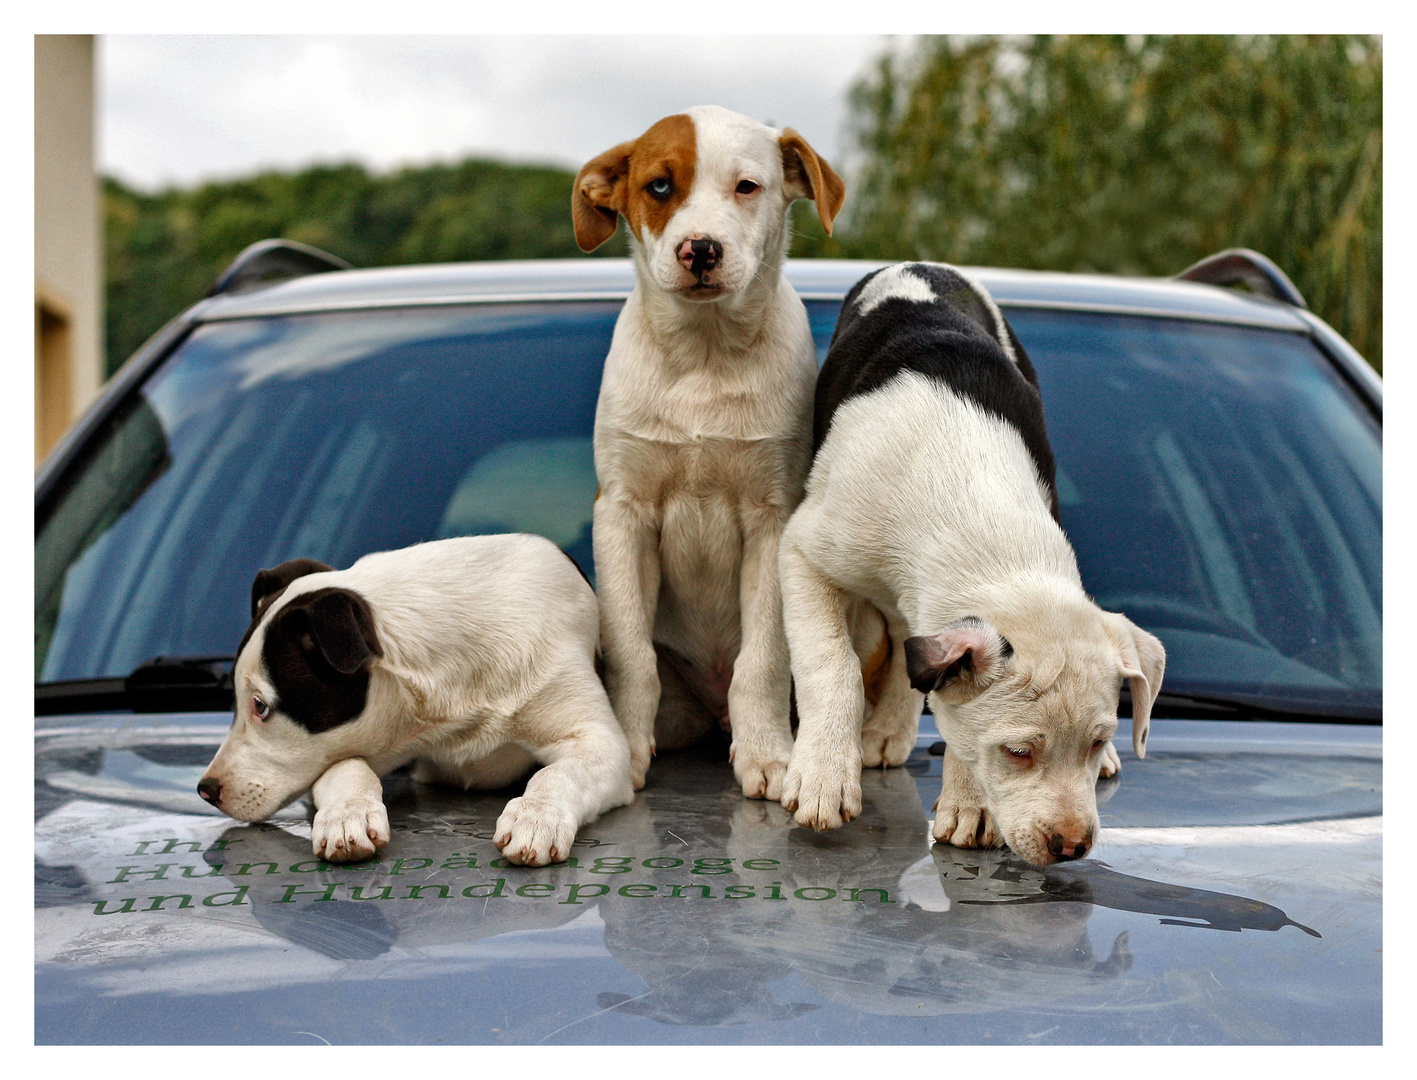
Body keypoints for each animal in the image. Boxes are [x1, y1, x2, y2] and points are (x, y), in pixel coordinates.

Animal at [198, 532, 637, 867]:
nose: (206, 790)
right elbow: (344, 767)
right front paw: (346, 815)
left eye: (261, 706)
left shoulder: (601, 740)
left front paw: (536, 816)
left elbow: (560, 772)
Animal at [572, 104, 838, 793]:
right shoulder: (622, 512)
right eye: (660, 187)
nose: (701, 250)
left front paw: (769, 754)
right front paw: (625, 751)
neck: (704, 353)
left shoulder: (774, 517)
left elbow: (765, 656)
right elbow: (631, 654)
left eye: (747, 187)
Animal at [782, 263, 1167, 867]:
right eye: (1018, 752)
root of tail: (926, 266)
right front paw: (823, 777)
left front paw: (969, 805)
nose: (1073, 847)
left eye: (1098, 739)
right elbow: (833, 662)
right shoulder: (804, 549)